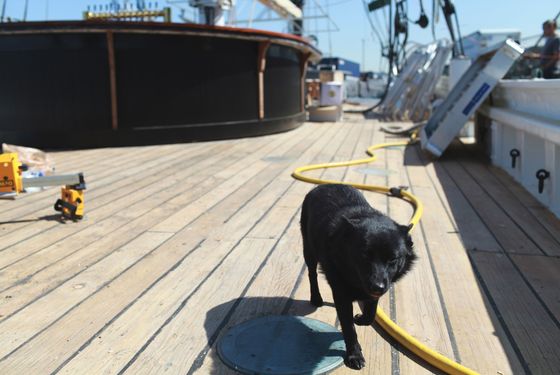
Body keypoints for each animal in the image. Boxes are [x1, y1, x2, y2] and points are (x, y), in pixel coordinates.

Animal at [302, 185, 416, 370]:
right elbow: (349, 329)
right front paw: (354, 355)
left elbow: (371, 314)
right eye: (364, 256)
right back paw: (316, 298)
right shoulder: (341, 295)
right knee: (312, 274)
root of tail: (322, 185)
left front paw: (361, 319)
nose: (377, 287)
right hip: (309, 250)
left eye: (393, 259)